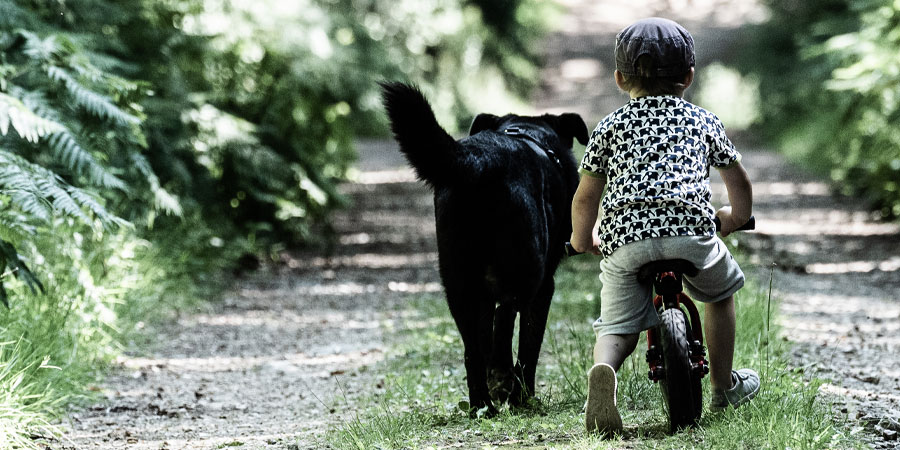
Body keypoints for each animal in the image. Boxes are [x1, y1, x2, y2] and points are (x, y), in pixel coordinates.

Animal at [378, 82, 584, 414]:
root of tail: (479, 160)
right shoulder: (544, 288)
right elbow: (528, 347)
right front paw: (523, 395)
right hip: (525, 270)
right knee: (506, 317)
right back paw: (503, 383)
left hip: (458, 285)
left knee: (473, 349)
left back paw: (481, 405)